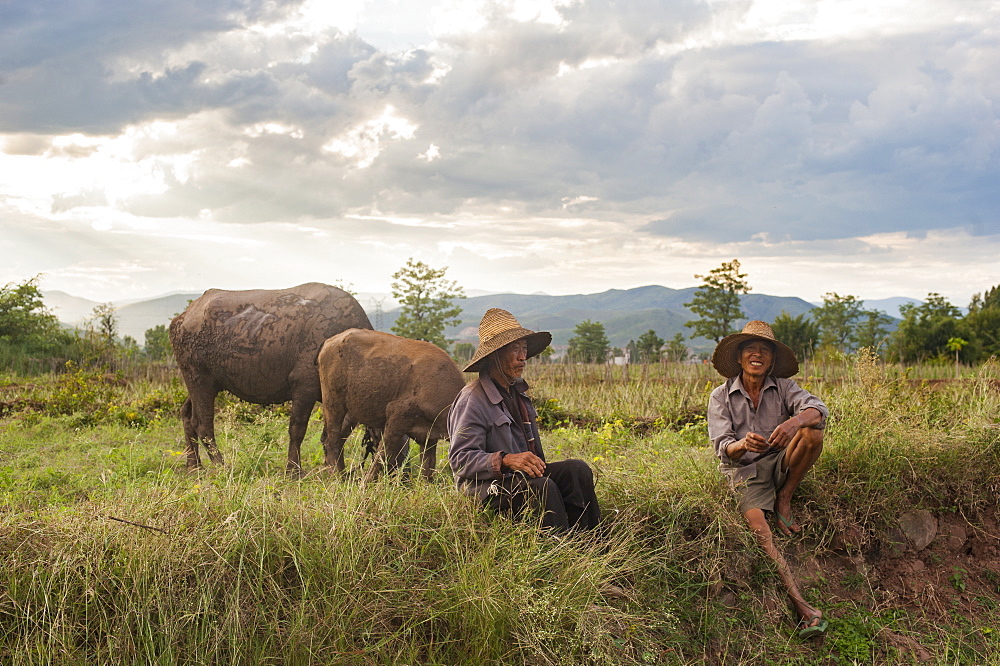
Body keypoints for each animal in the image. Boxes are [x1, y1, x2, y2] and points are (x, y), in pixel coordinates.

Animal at [170, 282, 374, 470]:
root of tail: (181, 318)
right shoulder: (304, 388)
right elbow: (298, 430)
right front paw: (293, 469)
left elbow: (336, 432)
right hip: (200, 381)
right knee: (202, 424)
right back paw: (221, 465)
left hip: (201, 383)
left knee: (186, 414)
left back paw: (194, 465)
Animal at [316, 326, 464, 478]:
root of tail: (330, 342)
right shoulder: (395, 421)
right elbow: (381, 458)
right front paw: (366, 482)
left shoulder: (429, 438)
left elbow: (428, 469)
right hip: (333, 404)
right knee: (332, 440)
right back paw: (337, 476)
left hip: (351, 412)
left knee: (337, 439)